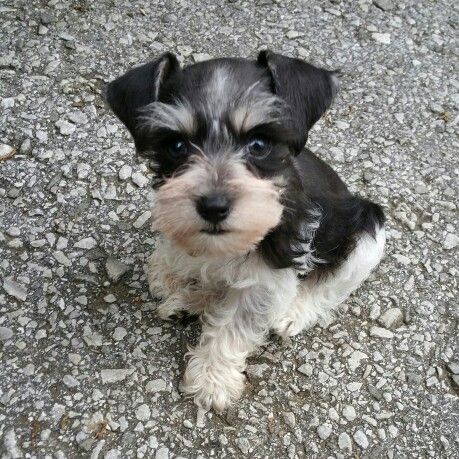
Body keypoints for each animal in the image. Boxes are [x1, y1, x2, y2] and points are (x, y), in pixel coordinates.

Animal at [106, 51, 386, 414]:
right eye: (177, 145)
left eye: (259, 144)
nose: (213, 206)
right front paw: (166, 271)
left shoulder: (267, 280)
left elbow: (234, 326)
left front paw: (212, 379)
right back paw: (189, 300)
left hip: (368, 236)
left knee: (331, 286)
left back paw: (291, 313)